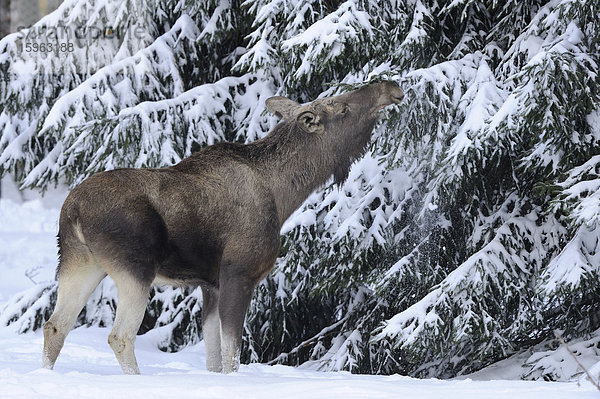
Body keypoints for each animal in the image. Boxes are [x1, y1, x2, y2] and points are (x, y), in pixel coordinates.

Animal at [41, 81, 404, 376]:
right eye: (343, 108)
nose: (390, 86)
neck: (284, 194)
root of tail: (73, 210)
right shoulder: (239, 271)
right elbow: (233, 356)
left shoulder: (210, 283)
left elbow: (214, 358)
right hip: (135, 269)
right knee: (119, 336)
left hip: (80, 262)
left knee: (55, 326)